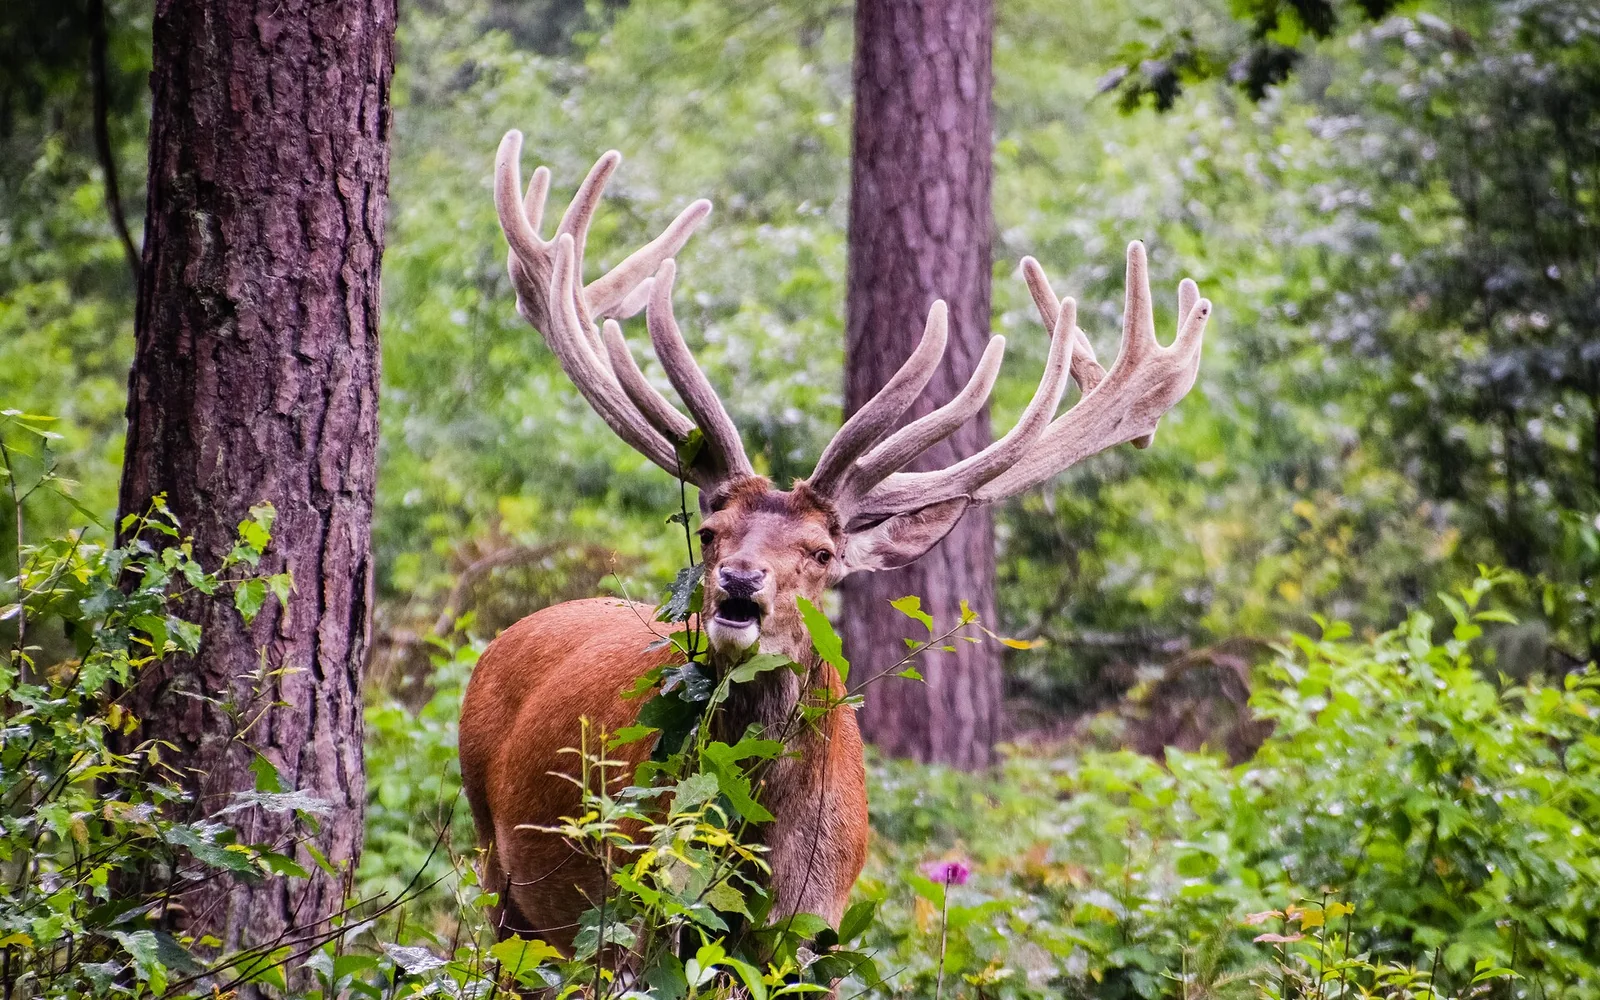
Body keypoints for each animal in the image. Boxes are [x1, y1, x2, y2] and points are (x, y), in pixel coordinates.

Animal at [458, 131, 1212, 949]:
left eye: (823, 554)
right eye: (713, 532)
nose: (740, 583)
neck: (758, 851)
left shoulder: (813, 919)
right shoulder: (633, 902)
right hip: (499, 866)